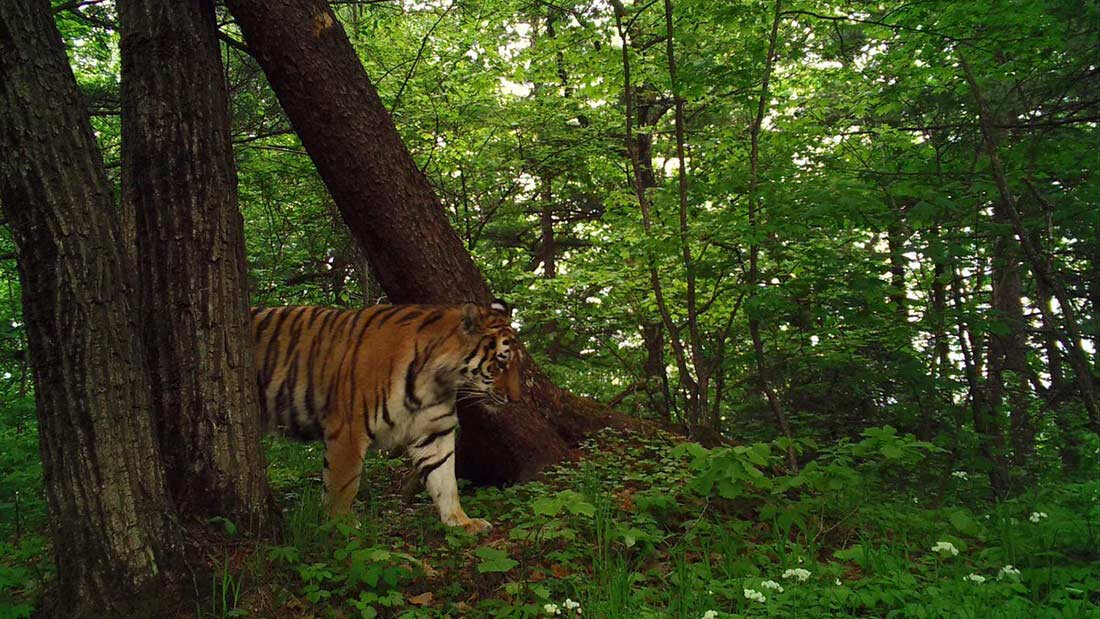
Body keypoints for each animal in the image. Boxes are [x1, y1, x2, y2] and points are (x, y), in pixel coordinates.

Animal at [251, 301, 521, 532]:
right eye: (501, 363)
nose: (517, 399)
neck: (437, 381)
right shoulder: (348, 431)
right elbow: (343, 486)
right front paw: (342, 527)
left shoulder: (434, 431)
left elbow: (446, 481)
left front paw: (461, 522)